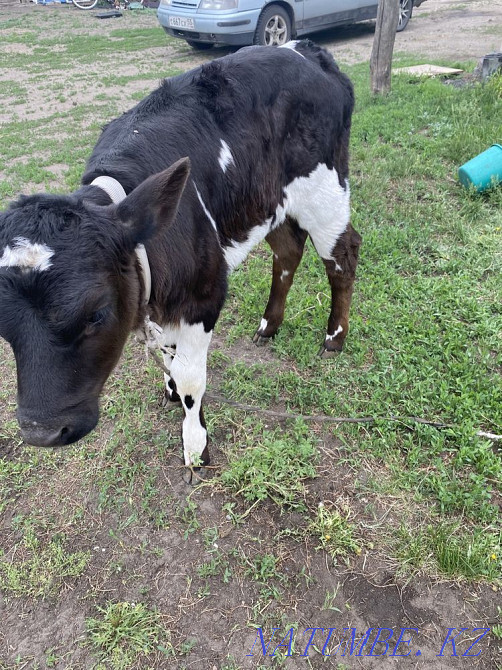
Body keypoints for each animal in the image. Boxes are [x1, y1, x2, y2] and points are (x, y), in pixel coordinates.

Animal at [0, 40, 361, 476]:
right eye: (2, 326)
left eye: (96, 313)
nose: (42, 433)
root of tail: (306, 51)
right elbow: (170, 356)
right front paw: (170, 388)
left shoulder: (203, 295)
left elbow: (191, 377)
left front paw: (195, 444)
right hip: (266, 201)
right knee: (289, 250)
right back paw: (268, 325)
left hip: (325, 191)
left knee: (342, 256)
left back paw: (334, 337)